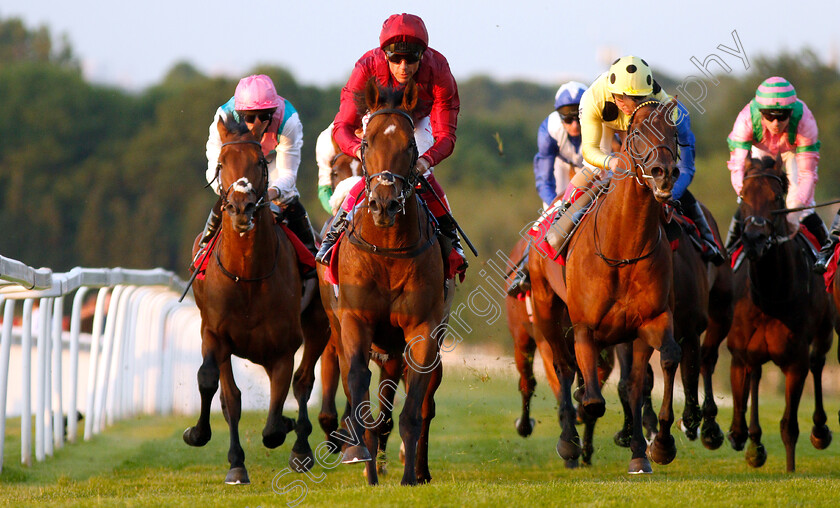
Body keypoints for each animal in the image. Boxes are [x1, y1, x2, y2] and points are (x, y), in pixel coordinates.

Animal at [184, 115, 328, 484]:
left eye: (261, 162)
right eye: (222, 163)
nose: (240, 207)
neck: (246, 276)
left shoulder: (283, 347)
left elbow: (275, 421)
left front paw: (289, 430)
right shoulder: (214, 334)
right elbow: (219, 390)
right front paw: (213, 445)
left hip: (318, 326)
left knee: (303, 382)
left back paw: (301, 448)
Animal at [324, 78, 450, 484]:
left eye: (410, 146)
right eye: (365, 142)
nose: (384, 204)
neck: (389, 250)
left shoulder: (423, 328)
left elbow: (414, 410)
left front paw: (410, 476)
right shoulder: (355, 321)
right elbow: (357, 384)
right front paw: (365, 465)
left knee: (421, 402)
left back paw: (419, 468)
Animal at [536, 100, 684, 476]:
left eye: (674, 132)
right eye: (637, 133)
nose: (663, 173)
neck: (624, 247)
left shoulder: (652, 320)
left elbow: (658, 366)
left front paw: (654, 447)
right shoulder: (584, 326)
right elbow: (592, 400)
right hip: (546, 309)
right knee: (562, 368)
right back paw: (569, 443)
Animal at [728, 156, 832, 472]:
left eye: (776, 198)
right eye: (743, 196)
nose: (754, 238)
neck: (769, 298)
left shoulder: (795, 360)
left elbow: (789, 425)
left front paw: (789, 469)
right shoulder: (741, 350)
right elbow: (744, 387)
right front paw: (746, 440)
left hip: (824, 331)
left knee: (818, 361)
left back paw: (820, 431)